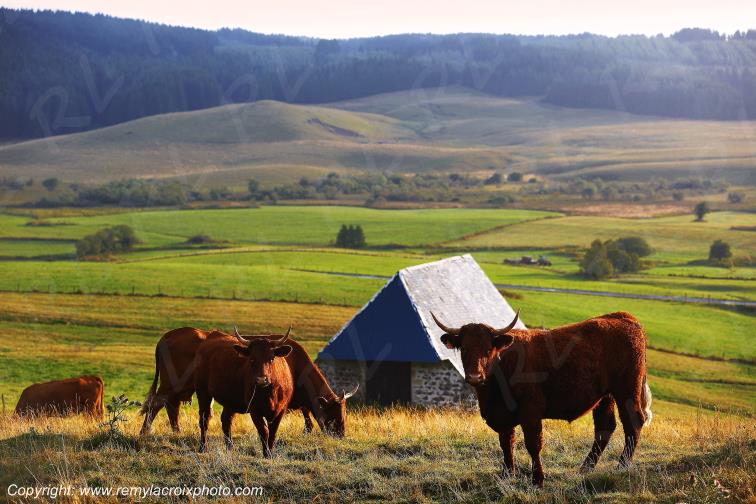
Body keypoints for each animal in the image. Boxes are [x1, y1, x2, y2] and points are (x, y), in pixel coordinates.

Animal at [139, 326, 357, 437]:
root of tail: (168, 335)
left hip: (180, 388)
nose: (341, 434)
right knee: (157, 403)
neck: (293, 361)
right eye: (332, 414)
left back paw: (176, 431)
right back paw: (145, 432)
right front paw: (308, 430)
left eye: (344, 413)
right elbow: (306, 413)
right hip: (171, 384)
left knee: (170, 406)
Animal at [431, 310, 652, 486]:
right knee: (604, 428)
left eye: (488, 349)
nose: (475, 376)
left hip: (627, 390)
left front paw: (537, 479)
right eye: (464, 349)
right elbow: (506, 443)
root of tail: (622, 317)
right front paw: (507, 475)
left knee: (633, 422)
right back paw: (585, 468)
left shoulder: (531, 412)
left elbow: (533, 444)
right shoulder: (502, 416)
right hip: (605, 397)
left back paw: (622, 466)